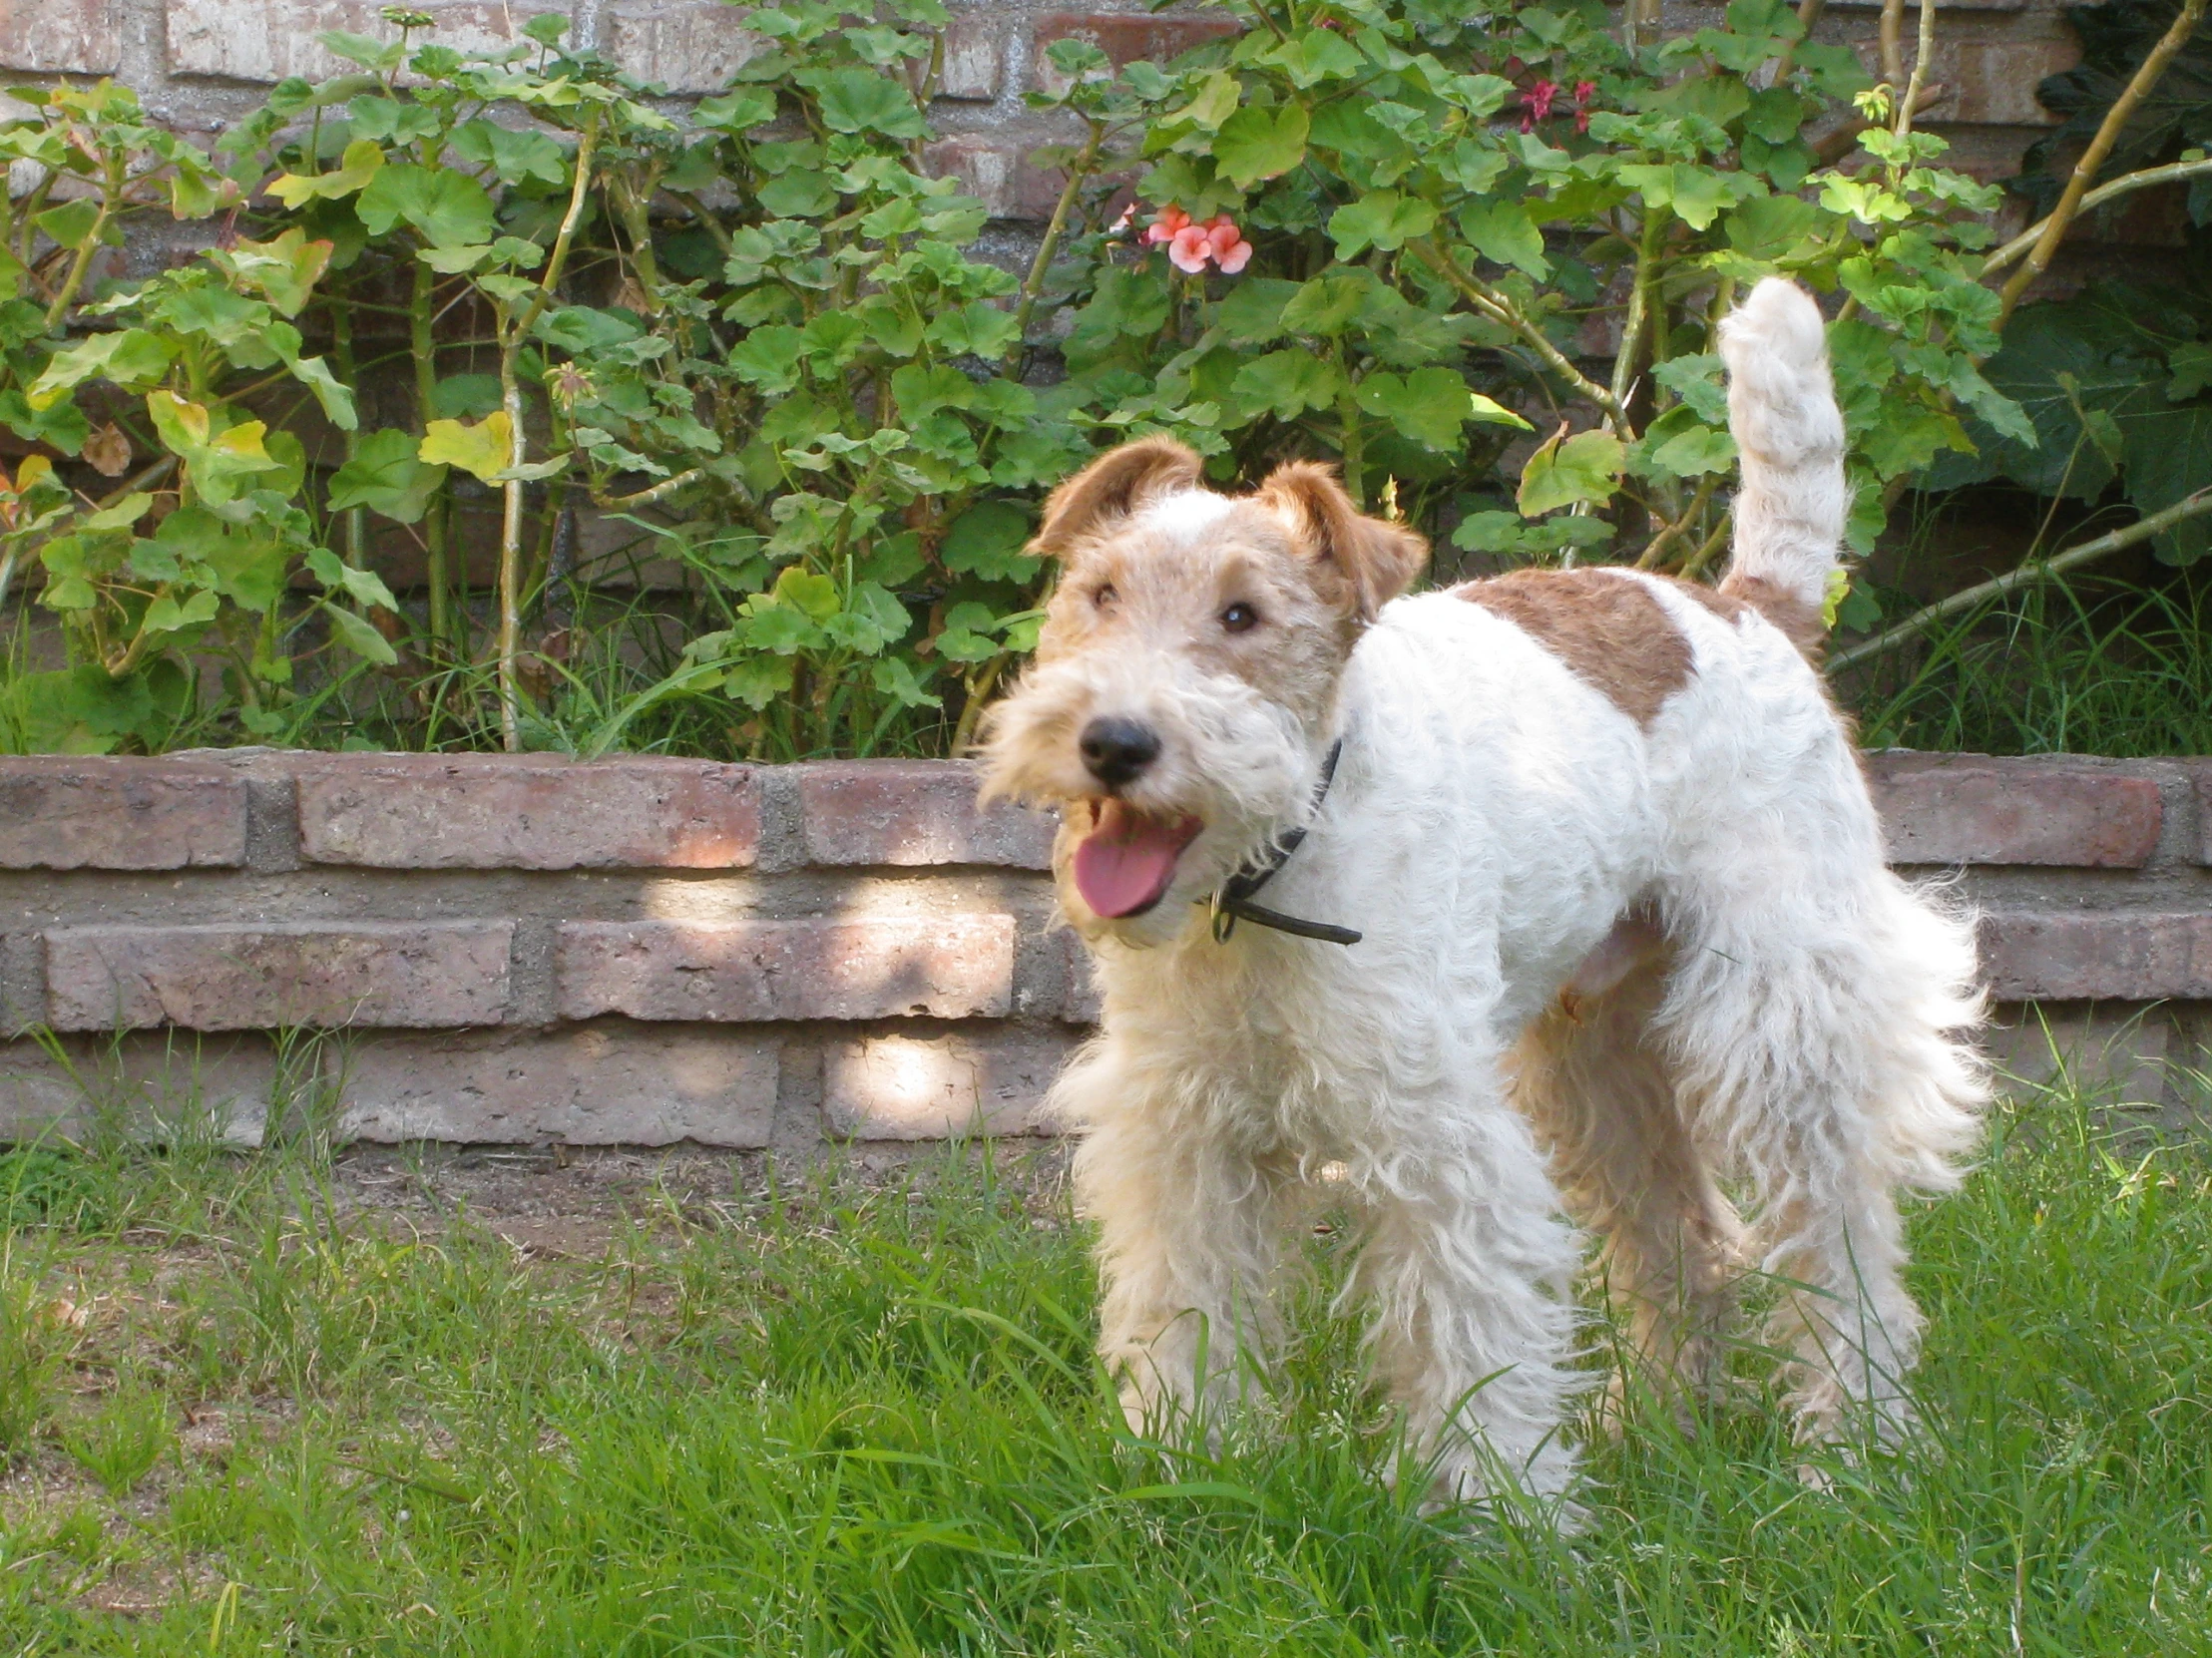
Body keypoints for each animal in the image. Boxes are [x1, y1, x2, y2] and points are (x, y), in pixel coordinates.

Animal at [977, 282, 1982, 1520]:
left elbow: (1469, 1335)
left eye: (1244, 616)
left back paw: (1855, 1455)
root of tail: (1746, 605)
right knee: (1688, 1242)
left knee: (1842, 1251)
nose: (1114, 742)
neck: (1277, 868)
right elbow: (1190, 1309)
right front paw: (1188, 1467)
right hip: (1599, 1051)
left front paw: (1496, 1513)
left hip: (1785, 1025)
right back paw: (1657, 1427)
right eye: (1099, 593)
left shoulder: (1438, 1138)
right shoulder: (1186, 1126)